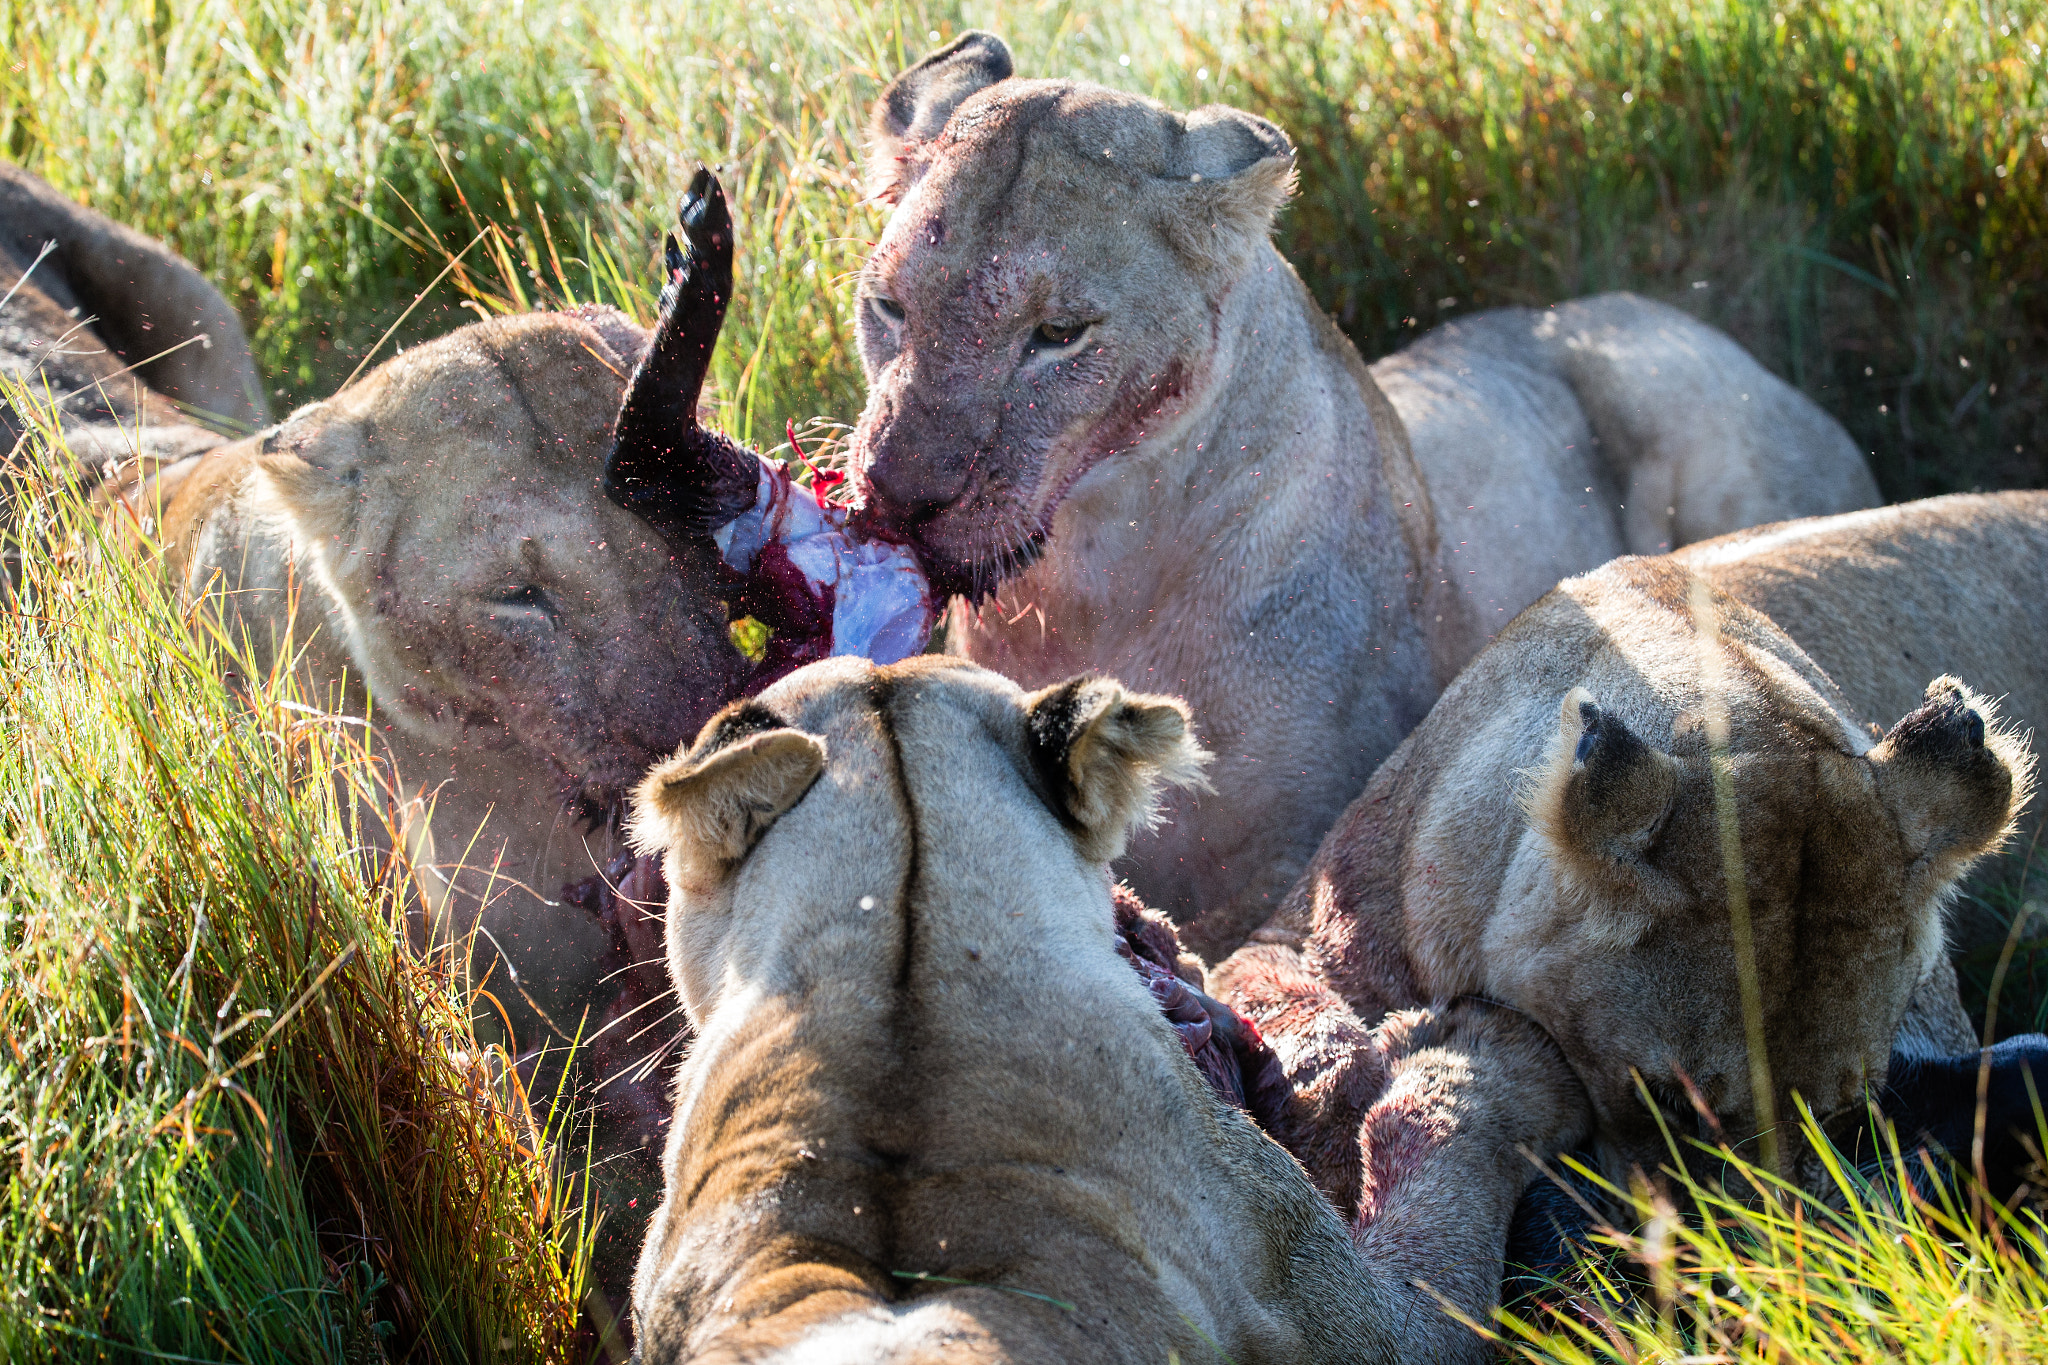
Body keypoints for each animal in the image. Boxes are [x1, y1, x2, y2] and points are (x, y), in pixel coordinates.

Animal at [1220, 493, 2039, 1195]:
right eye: (1671, 1106)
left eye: (1844, 1119)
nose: (1734, 1275)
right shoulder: (1300, 932)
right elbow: (1298, 1015)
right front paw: (1340, 1138)